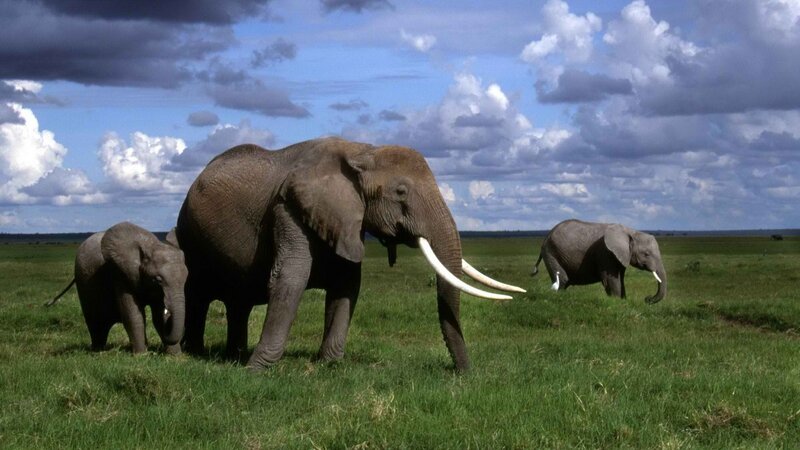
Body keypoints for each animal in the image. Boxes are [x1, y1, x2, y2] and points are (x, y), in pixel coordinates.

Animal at [46, 222, 188, 354]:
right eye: (158, 280)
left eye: (186, 278)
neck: (150, 246)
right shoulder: (120, 273)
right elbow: (133, 315)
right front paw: (141, 355)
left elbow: (158, 317)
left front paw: (175, 356)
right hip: (83, 281)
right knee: (96, 322)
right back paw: (98, 350)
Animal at [174, 136, 524, 371]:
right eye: (400, 192)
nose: (463, 373)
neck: (362, 151)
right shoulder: (289, 208)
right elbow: (290, 278)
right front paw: (257, 370)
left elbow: (347, 285)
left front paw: (329, 364)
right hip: (189, 234)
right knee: (198, 294)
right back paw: (195, 353)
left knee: (238, 302)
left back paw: (232, 354)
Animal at [532, 219, 667, 304]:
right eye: (646, 254)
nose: (647, 299)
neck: (630, 231)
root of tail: (546, 237)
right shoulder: (605, 252)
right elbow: (611, 279)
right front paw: (617, 302)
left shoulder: (621, 255)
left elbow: (620, 279)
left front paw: (623, 301)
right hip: (551, 252)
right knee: (563, 279)